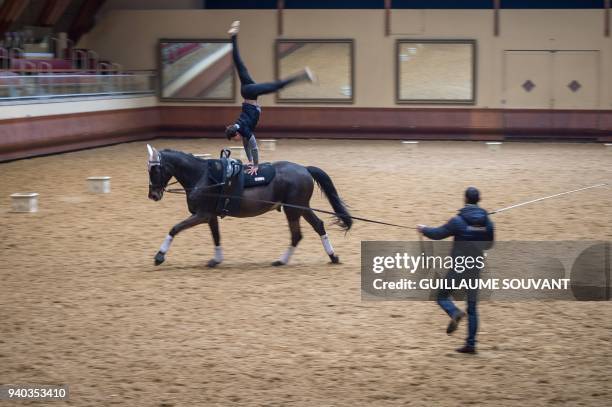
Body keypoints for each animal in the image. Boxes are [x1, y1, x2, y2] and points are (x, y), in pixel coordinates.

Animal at [145, 144, 352, 268]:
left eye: (155, 169)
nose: (153, 195)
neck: (202, 176)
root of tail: (304, 169)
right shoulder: (210, 216)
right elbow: (216, 236)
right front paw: (216, 259)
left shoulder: (202, 215)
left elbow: (175, 228)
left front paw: (159, 256)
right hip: (301, 208)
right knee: (316, 227)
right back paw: (331, 257)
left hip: (293, 209)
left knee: (297, 234)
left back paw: (283, 260)